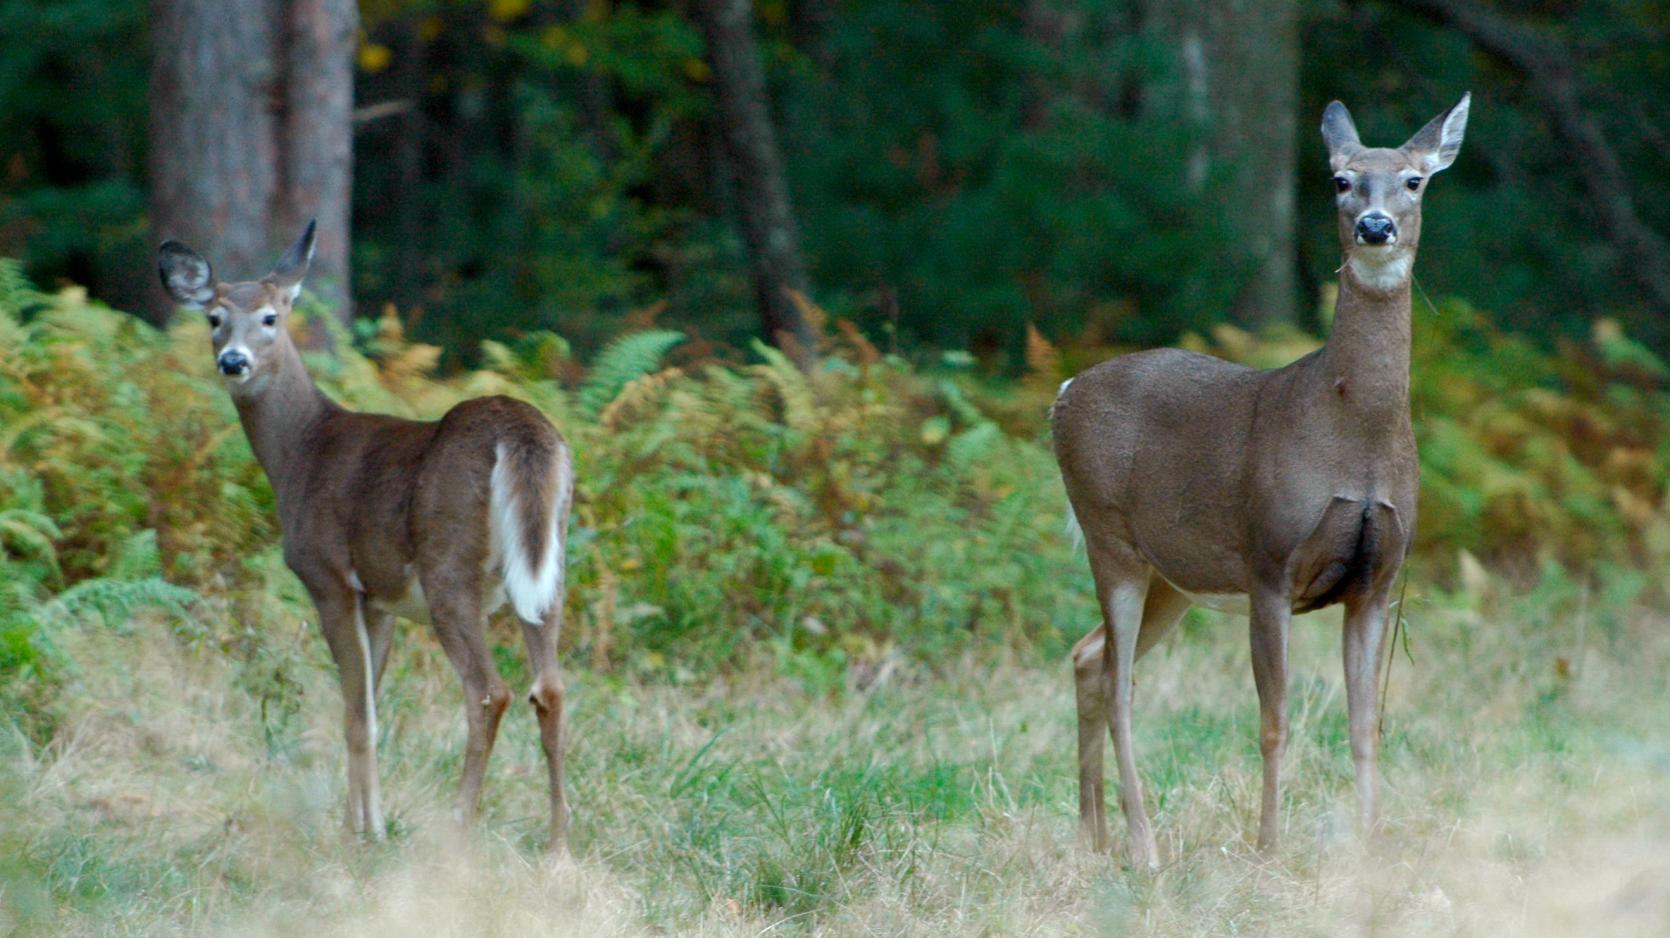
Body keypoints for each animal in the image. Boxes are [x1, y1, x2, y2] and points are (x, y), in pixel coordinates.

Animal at [157, 222, 576, 850]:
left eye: (271, 317)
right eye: (214, 317)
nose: (233, 361)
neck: (300, 453)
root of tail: (522, 432)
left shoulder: (328, 575)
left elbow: (357, 715)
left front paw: (365, 833)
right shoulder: (380, 601)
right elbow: (369, 707)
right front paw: (361, 820)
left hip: (450, 564)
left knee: (489, 690)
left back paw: (459, 826)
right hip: (547, 567)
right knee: (549, 688)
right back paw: (558, 845)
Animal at [1051, 93, 1470, 866]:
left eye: (1415, 180)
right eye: (1340, 179)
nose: (1375, 226)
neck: (1354, 437)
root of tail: (1062, 394)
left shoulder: (1377, 579)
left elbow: (1365, 725)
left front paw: (1371, 848)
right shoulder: (1271, 560)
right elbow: (1274, 719)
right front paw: (1269, 846)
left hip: (1174, 572)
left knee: (1088, 657)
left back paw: (1092, 839)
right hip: (1107, 532)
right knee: (1121, 686)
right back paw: (1143, 846)